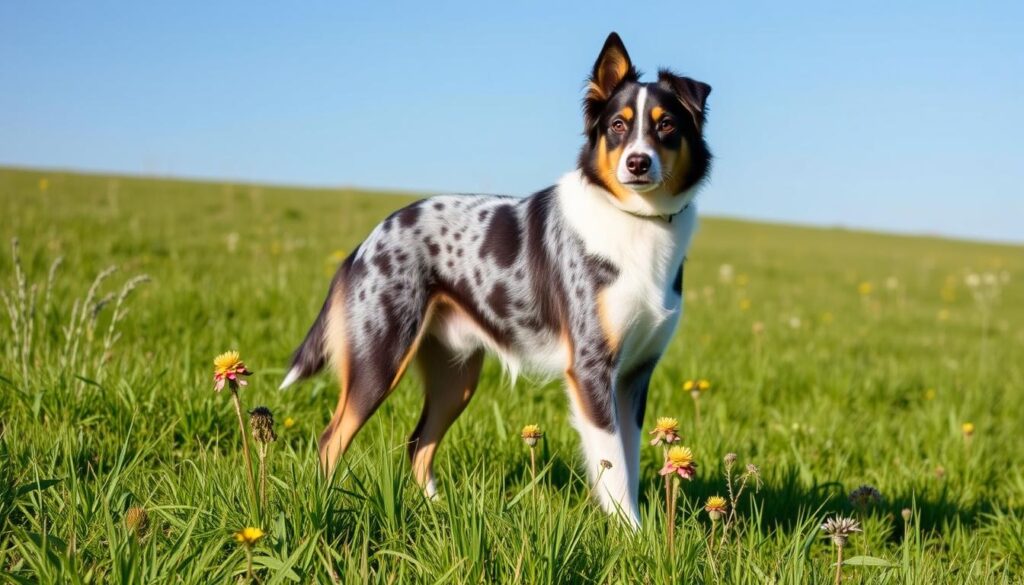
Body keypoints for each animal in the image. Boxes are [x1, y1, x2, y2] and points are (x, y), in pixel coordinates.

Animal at [280, 32, 712, 524]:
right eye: (618, 125)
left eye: (666, 125)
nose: (638, 163)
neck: (637, 221)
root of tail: (367, 240)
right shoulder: (591, 368)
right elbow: (613, 467)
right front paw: (631, 533)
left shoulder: (635, 376)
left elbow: (629, 462)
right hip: (379, 359)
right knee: (331, 440)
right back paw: (321, 509)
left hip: (457, 377)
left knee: (418, 443)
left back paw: (438, 512)